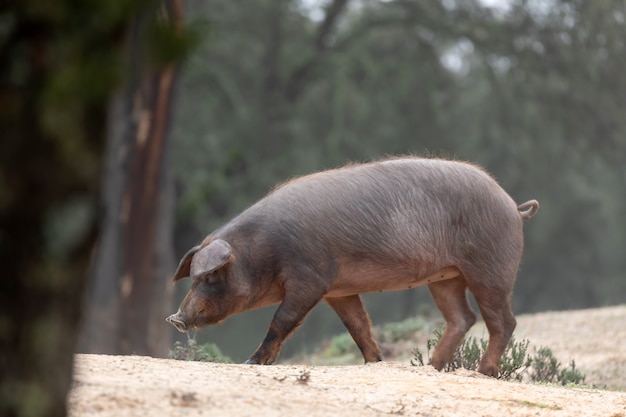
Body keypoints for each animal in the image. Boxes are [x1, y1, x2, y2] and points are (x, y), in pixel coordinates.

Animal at [166, 157, 536, 376]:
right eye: (194, 277)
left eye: (212, 275)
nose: (176, 318)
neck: (262, 249)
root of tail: (514, 206)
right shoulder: (338, 290)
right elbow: (358, 325)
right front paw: (375, 362)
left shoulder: (311, 278)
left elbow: (282, 320)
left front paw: (251, 362)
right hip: (445, 277)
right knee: (463, 317)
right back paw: (431, 367)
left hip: (491, 267)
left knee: (503, 321)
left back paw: (483, 372)